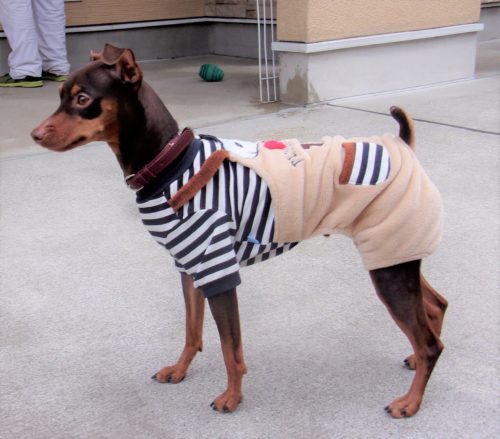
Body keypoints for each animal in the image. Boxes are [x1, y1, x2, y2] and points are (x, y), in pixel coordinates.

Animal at [31, 44, 448, 418]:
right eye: (59, 97)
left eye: (83, 99)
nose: (35, 134)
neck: (168, 163)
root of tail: (402, 144)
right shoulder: (190, 268)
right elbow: (193, 331)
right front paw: (179, 371)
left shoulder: (219, 271)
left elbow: (231, 348)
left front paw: (231, 397)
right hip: (396, 253)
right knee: (435, 308)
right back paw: (415, 362)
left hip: (388, 265)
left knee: (431, 343)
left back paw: (411, 401)